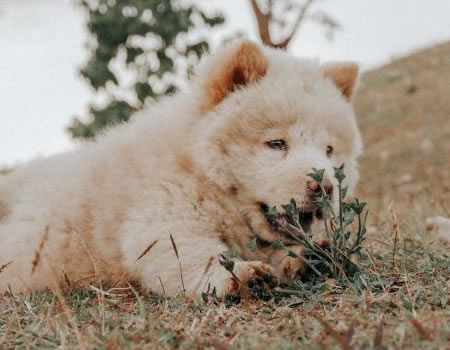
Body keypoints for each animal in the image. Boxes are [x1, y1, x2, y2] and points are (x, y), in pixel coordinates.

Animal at [0, 41, 360, 298]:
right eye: (276, 144)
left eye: (329, 150)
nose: (324, 186)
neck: (197, 166)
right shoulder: (160, 208)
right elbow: (185, 252)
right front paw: (240, 276)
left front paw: (311, 257)